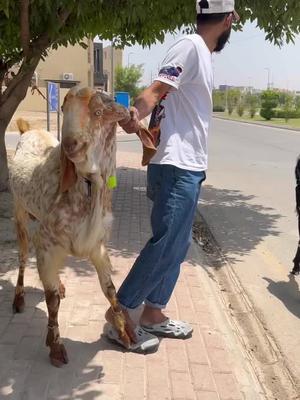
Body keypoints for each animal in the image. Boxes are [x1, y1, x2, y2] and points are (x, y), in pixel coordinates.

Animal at [9, 86, 134, 366]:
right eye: (65, 110)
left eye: (98, 112)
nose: (70, 145)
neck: (86, 186)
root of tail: (27, 129)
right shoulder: (46, 242)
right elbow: (52, 300)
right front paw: (56, 347)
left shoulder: (97, 245)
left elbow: (110, 289)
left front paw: (124, 332)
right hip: (20, 212)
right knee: (23, 255)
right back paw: (18, 298)